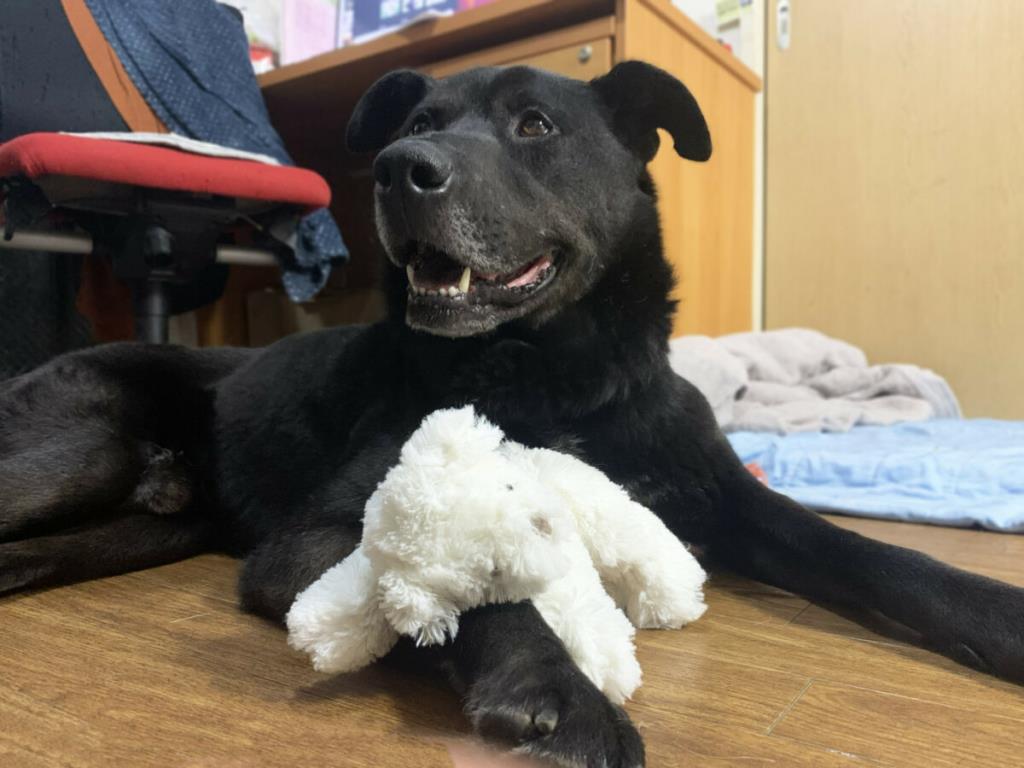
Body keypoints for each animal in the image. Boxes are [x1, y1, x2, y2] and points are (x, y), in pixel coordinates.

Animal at [2, 61, 1022, 767]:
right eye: (419, 125)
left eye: (534, 126)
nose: (393, 168)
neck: (551, 375)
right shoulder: (319, 535)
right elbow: (469, 579)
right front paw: (558, 688)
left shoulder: (725, 496)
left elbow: (867, 552)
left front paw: (997, 611)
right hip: (83, 450)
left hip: (132, 529)